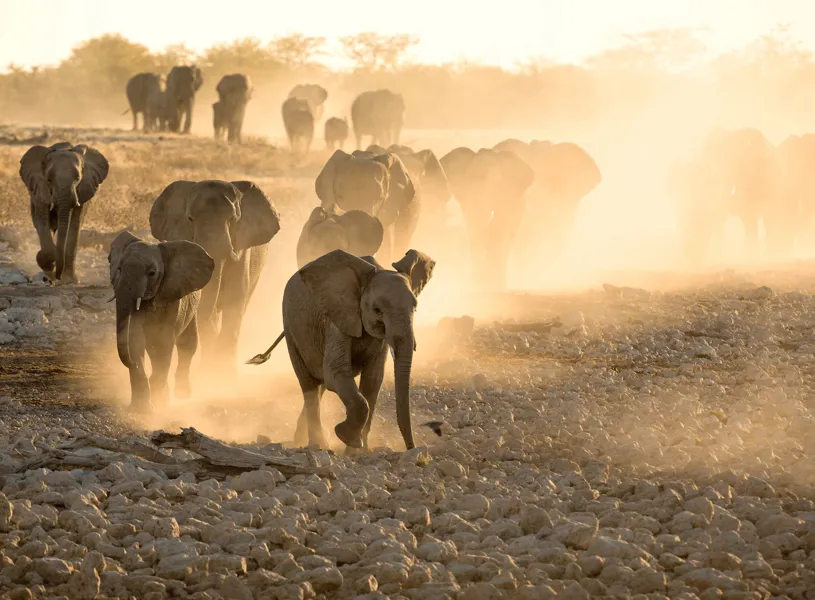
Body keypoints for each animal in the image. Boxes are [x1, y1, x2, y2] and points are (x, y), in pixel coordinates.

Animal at [19, 142, 110, 284]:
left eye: (77, 179)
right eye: (49, 179)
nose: (58, 276)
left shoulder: (82, 192)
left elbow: (74, 225)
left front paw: (69, 280)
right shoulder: (40, 190)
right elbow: (43, 221)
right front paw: (49, 264)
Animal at [109, 231, 215, 412]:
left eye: (152, 273)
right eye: (119, 269)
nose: (132, 364)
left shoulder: (172, 298)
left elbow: (163, 344)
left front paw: (159, 403)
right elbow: (135, 340)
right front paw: (141, 410)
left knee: (187, 343)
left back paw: (181, 395)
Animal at [149, 180, 281, 376]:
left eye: (233, 219)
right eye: (189, 219)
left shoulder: (242, 250)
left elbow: (234, 301)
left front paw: (224, 375)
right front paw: (210, 372)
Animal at [249, 248, 435, 450]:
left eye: (415, 309)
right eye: (377, 310)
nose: (412, 447)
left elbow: (373, 379)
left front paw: (358, 451)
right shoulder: (337, 318)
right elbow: (336, 372)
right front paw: (345, 436)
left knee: (321, 384)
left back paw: (302, 439)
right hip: (291, 329)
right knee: (309, 386)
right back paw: (318, 444)